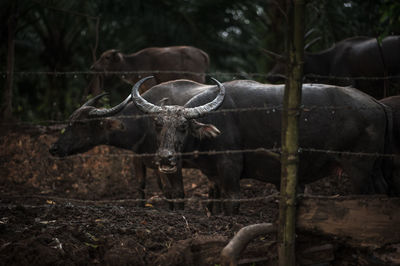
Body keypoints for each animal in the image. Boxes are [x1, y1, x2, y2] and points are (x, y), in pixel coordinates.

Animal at [49, 79, 212, 210]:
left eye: (82, 123)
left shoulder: (169, 162)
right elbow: (142, 185)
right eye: (70, 120)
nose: (54, 148)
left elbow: (173, 191)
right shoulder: (139, 157)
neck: (143, 123)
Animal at [130, 76, 390, 214]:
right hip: (376, 169)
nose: (165, 158)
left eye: (184, 126)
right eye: (158, 124)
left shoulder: (230, 168)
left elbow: (231, 200)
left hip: (359, 168)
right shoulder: (214, 175)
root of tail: (376, 104)